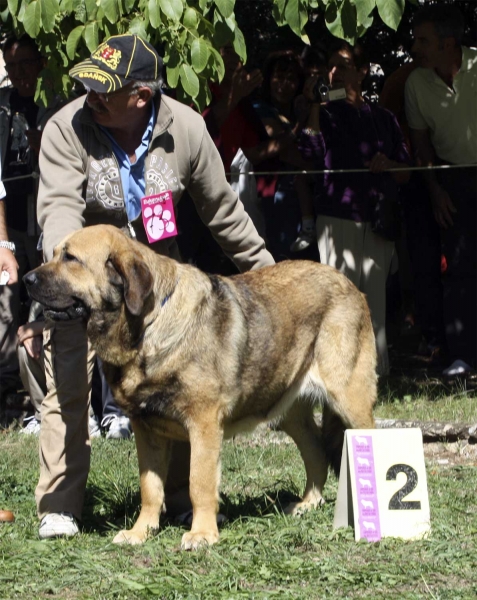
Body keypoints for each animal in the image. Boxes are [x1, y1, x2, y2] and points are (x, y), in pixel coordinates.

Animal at [25, 225, 376, 548]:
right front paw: (141, 532)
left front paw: (202, 534)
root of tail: (348, 283)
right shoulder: (146, 430)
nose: (27, 279)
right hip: (289, 412)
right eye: (53, 254)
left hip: (349, 398)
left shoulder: (204, 425)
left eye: (71, 258)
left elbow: (199, 483)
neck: (148, 324)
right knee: (315, 453)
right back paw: (307, 504)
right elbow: (150, 487)